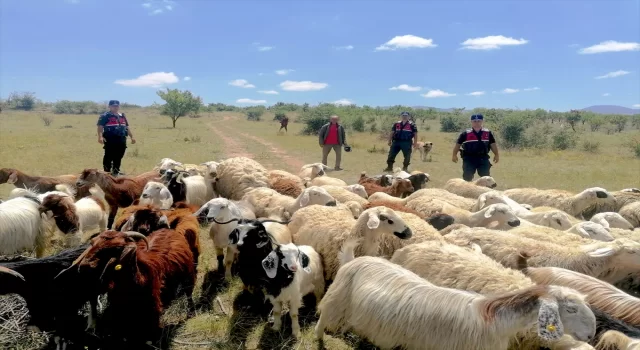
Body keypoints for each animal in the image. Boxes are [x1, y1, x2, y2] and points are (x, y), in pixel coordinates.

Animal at [65, 228, 195, 346]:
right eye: (92, 243)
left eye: (116, 248)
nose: (84, 265)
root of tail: (169, 230)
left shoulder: (153, 305)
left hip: (189, 276)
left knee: (189, 294)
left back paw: (190, 313)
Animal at [316, 253, 596, 350]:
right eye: (571, 309)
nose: (591, 334)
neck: (495, 322)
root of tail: (358, 258)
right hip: (334, 303)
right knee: (320, 324)